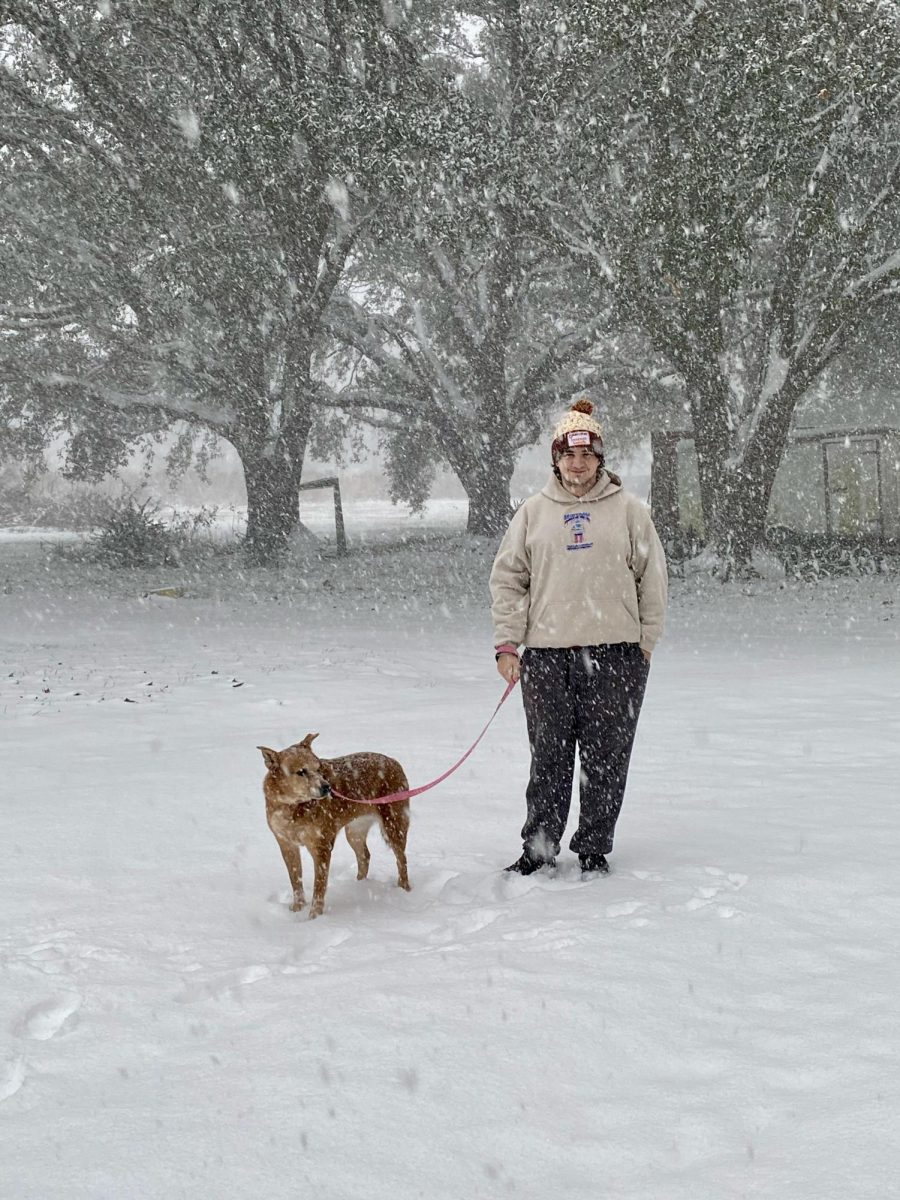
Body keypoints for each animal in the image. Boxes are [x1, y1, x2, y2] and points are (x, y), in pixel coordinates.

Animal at [259, 729, 415, 916]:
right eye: (301, 771)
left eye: (318, 767)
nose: (327, 787)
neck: (293, 806)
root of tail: (394, 761)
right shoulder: (286, 844)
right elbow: (295, 880)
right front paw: (297, 908)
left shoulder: (321, 847)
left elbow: (319, 888)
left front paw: (314, 917)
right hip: (354, 831)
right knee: (364, 855)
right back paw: (359, 886)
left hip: (393, 824)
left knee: (401, 859)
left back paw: (403, 890)